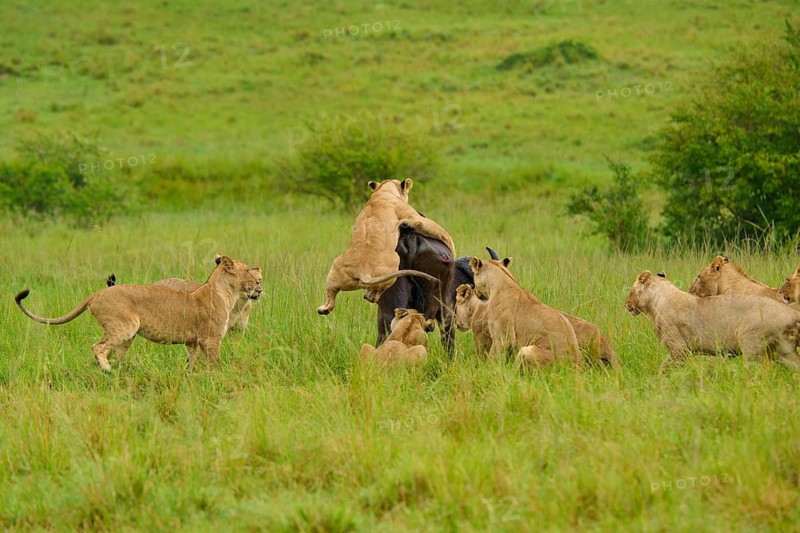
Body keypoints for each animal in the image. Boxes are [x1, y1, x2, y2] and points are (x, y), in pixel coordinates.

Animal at [15, 256, 261, 371]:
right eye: (247, 270)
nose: (259, 285)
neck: (227, 293)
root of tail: (96, 294)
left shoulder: (193, 342)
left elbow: (191, 362)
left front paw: (190, 376)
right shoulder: (210, 339)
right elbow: (215, 363)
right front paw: (217, 376)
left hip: (124, 336)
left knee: (110, 352)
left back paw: (113, 370)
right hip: (126, 326)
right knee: (98, 347)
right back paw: (108, 371)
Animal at [317, 179, 455, 315]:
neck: (382, 191)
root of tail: (363, 270)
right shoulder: (414, 217)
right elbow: (439, 231)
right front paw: (453, 250)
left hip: (335, 269)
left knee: (331, 296)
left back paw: (323, 309)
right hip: (394, 265)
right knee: (377, 293)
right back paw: (370, 295)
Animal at [626, 270, 800, 368]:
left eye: (630, 291)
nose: (625, 304)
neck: (656, 301)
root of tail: (789, 311)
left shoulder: (680, 349)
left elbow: (664, 368)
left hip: (751, 343)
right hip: (783, 350)